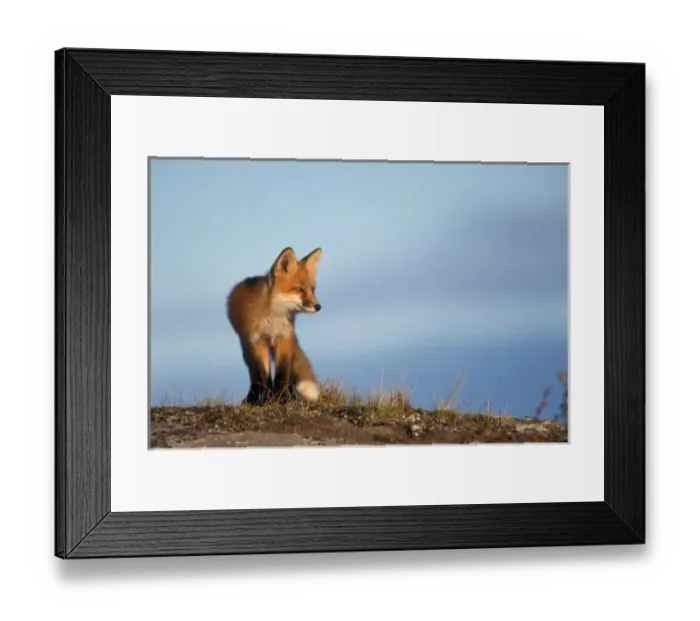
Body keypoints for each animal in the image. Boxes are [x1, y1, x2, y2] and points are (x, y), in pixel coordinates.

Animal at [226, 246, 323, 405]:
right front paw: (268, 400)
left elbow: (282, 374)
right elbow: (265, 376)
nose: (318, 306)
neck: (273, 319)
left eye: (312, 289)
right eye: (299, 289)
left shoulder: (284, 339)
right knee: (255, 376)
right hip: (247, 349)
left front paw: (283, 398)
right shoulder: (258, 342)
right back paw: (252, 399)